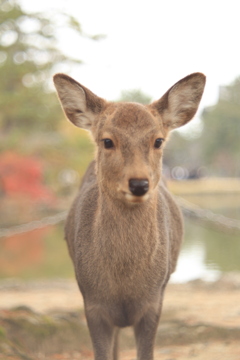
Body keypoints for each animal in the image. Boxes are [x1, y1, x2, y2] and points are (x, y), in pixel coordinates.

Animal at [53, 71, 205, 358]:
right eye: (107, 141)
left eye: (158, 140)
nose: (139, 183)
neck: (124, 285)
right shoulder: (91, 302)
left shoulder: (154, 301)